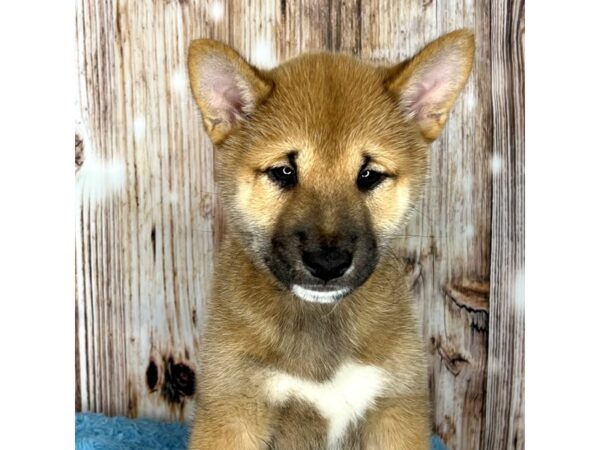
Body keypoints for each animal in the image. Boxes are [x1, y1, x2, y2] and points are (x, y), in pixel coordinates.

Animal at [188, 29, 474, 448]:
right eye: (284, 172)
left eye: (369, 175)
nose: (328, 263)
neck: (319, 320)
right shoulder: (233, 410)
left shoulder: (394, 410)